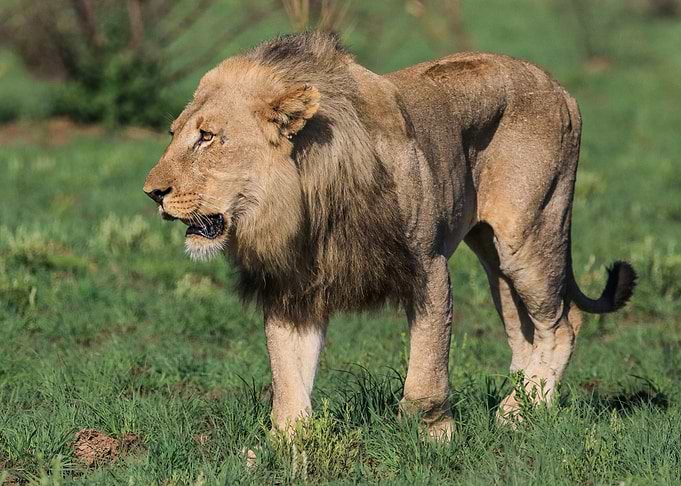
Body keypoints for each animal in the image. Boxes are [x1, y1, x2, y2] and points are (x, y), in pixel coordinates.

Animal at [143, 32, 636, 437]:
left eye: (207, 137)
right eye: (173, 133)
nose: (152, 193)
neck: (307, 202)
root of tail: (558, 86)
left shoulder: (428, 266)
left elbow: (427, 368)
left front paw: (434, 438)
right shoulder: (293, 289)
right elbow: (288, 381)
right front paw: (285, 449)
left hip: (529, 233)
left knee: (564, 323)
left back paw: (521, 413)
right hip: (493, 253)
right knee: (524, 331)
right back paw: (520, 404)